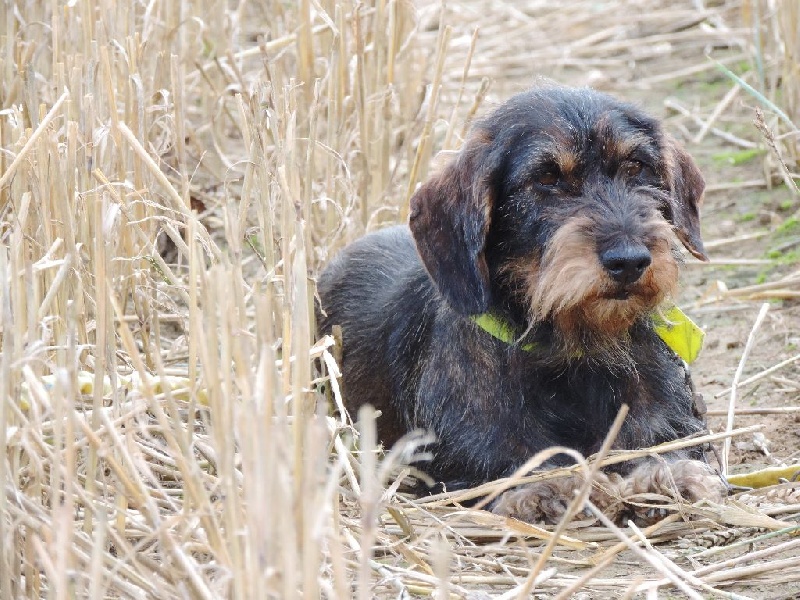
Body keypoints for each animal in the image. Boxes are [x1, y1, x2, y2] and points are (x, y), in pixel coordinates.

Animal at [316, 85, 728, 524]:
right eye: (545, 177)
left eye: (636, 166)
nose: (629, 261)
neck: (577, 352)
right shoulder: (465, 464)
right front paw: (550, 488)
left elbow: (665, 449)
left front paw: (666, 476)